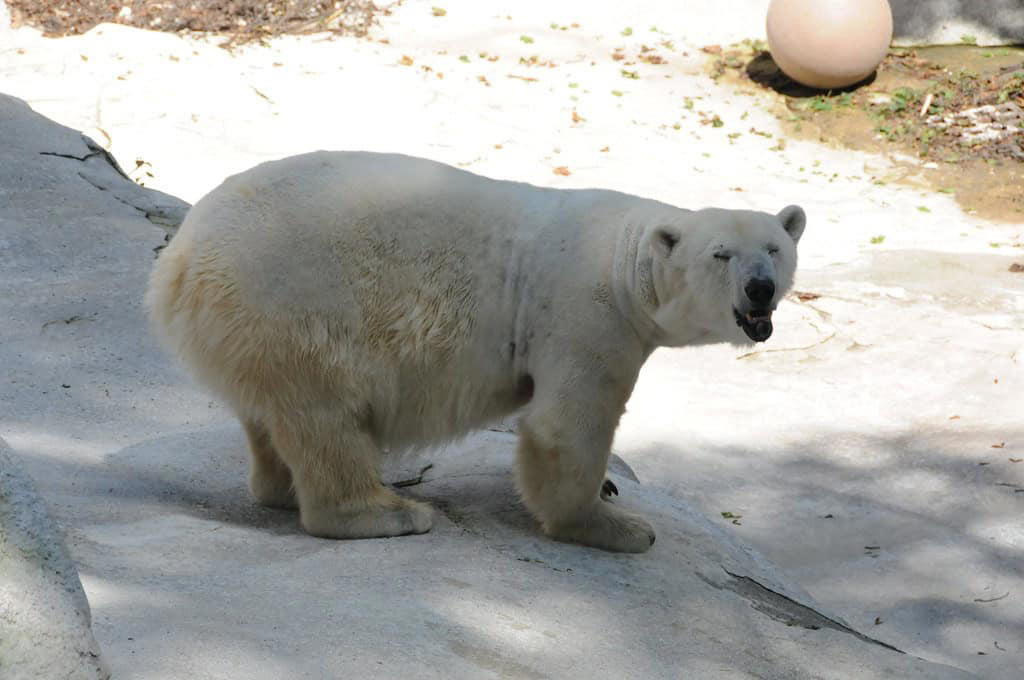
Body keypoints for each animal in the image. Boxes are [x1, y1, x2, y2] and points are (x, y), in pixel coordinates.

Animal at [145, 151, 805, 553]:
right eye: (721, 254)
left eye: (775, 248)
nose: (760, 288)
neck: (625, 261)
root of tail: (177, 264)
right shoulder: (587, 315)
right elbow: (567, 425)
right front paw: (615, 525)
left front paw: (611, 495)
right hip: (292, 302)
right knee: (327, 413)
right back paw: (390, 512)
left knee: (271, 415)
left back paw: (282, 486)